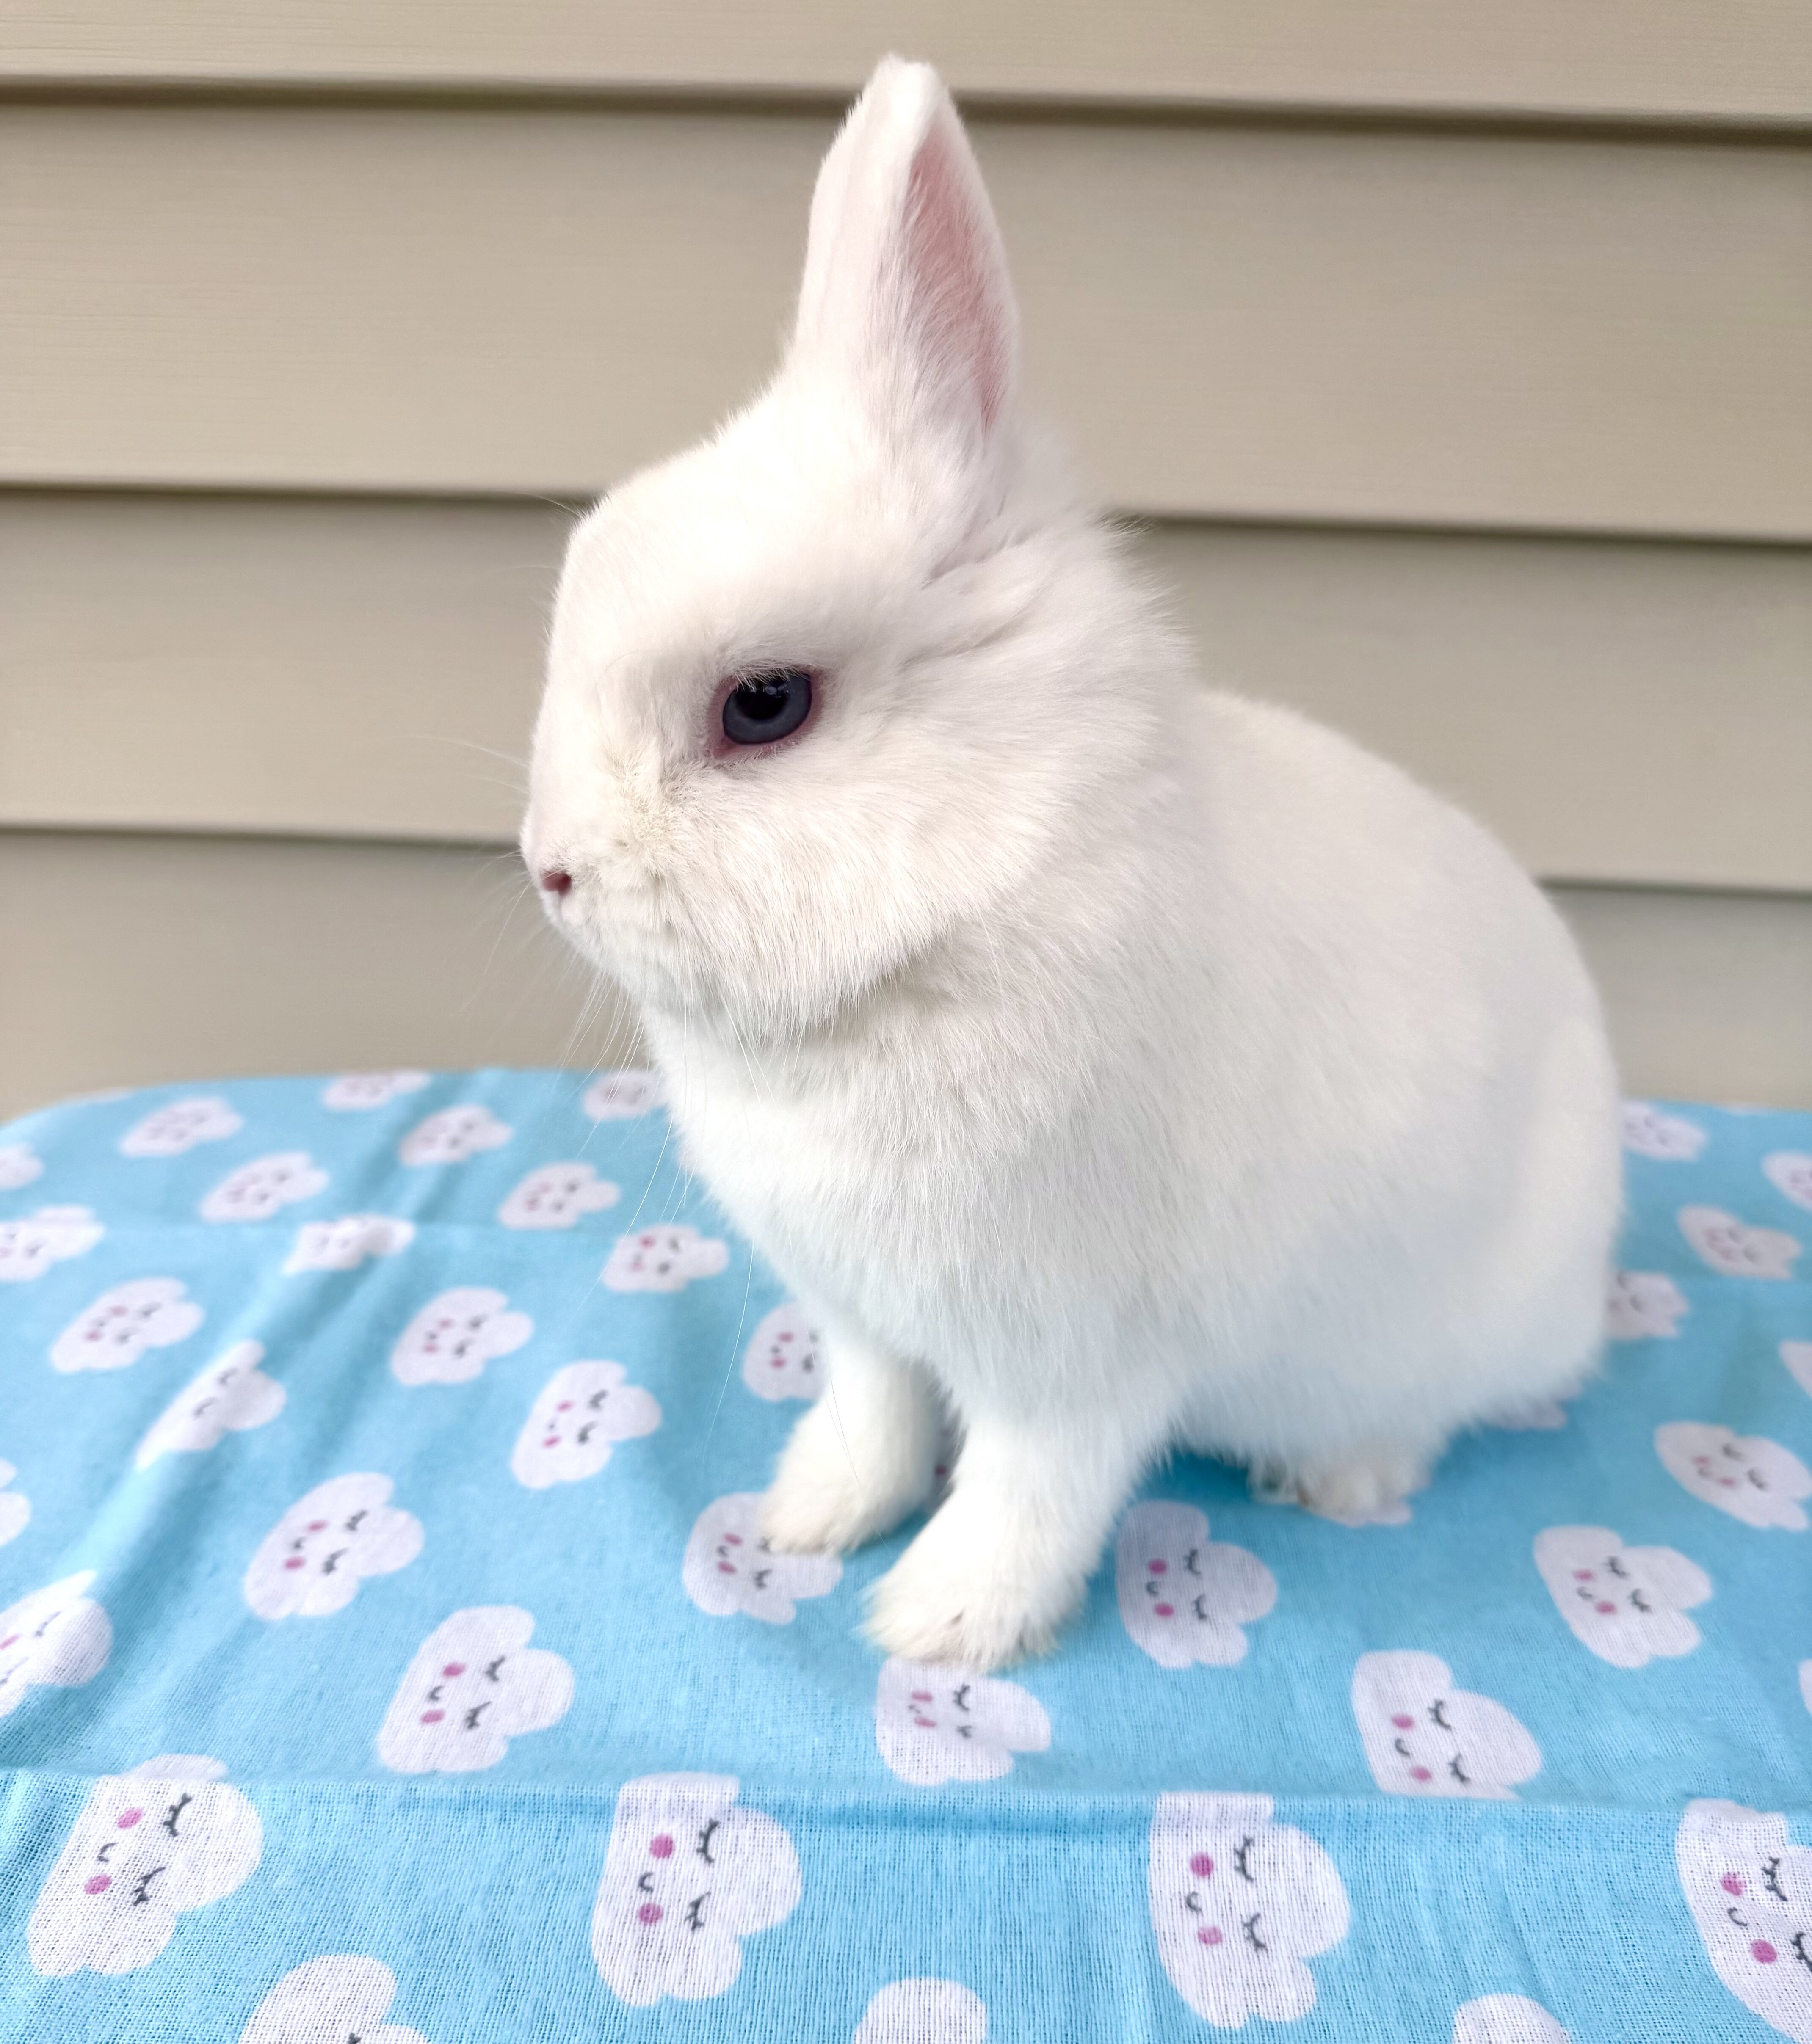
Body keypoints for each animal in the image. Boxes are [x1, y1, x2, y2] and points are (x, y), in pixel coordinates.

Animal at [523, 56, 1623, 1670]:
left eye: (765, 704)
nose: (548, 868)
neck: (955, 919)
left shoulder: (1072, 1359)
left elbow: (1028, 1490)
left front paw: (934, 1626)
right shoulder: (866, 1318)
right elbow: (873, 1417)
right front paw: (808, 1519)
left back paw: (1340, 1475)